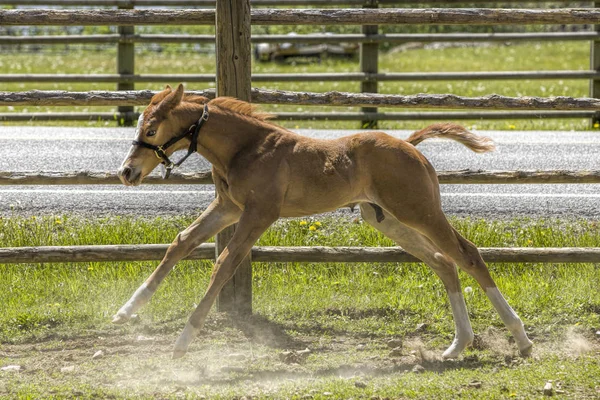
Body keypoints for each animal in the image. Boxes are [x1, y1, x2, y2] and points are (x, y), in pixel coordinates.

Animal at [115, 84, 532, 360]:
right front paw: (126, 311)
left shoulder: (259, 213)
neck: (246, 149)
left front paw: (182, 343)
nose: (127, 172)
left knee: (468, 254)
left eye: (151, 130)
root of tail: (411, 145)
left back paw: (521, 339)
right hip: (386, 219)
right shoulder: (228, 207)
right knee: (444, 262)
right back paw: (457, 346)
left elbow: (224, 263)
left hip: (418, 210)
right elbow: (181, 242)